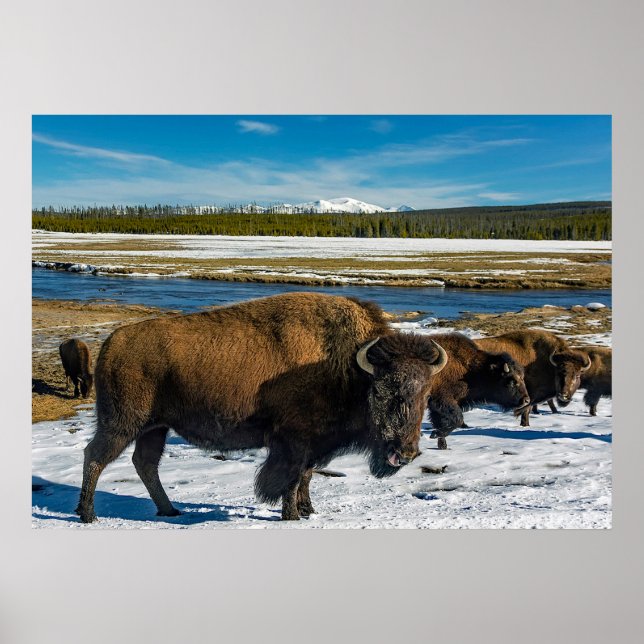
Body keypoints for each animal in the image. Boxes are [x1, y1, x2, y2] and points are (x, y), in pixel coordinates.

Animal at [76, 293, 448, 523]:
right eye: (382, 391)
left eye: (424, 393)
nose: (404, 454)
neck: (348, 366)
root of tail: (111, 343)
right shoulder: (293, 443)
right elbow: (291, 479)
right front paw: (292, 515)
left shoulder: (313, 445)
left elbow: (306, 477)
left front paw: (308, 510)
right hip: (122, 422)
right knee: (96, 456)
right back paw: (88, 514)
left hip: (155, 427)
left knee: (145, 463)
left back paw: (169, 510)